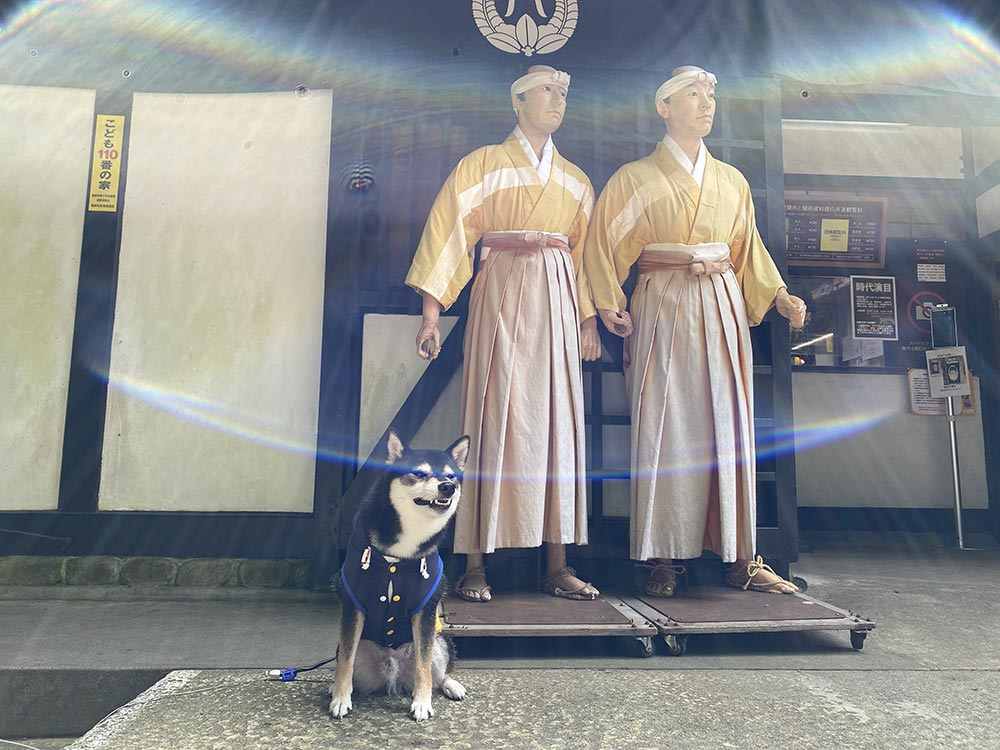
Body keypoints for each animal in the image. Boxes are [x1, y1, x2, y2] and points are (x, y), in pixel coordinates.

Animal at [328, 432, 468, 724]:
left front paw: (422, 703)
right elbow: (345, 662)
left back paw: (451, 685)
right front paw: (340, 699)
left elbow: (424, 668)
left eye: (452, 475)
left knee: (437, 673)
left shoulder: (425, 610)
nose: (448, 487)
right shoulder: (354, 605)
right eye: (419, 473)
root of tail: (393, 671)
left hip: (440, 643)